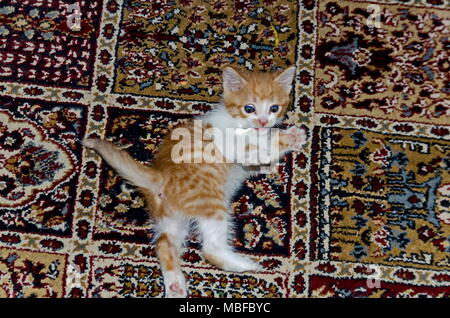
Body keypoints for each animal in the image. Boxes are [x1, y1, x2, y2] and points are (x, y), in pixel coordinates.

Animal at [81, 66, 306, 296]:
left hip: (171, 219)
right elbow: (253, 148)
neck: (238, 121)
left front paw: (271, 155)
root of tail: (160, 175)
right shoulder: (227, 141)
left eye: (274, 108)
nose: (262, 122)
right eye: (249, 108)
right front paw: (287, 139)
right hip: (210, 203)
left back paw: (175, 284)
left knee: (164, 243)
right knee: (210, 249)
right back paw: (244, 264)